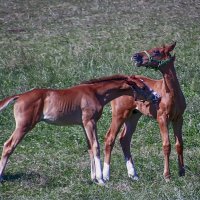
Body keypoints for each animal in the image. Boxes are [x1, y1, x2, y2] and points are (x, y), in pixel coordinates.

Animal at [0, 74, 159, 185]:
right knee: (8, 145)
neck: (95, 93)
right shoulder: (90, 122)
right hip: (24, 126)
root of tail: (20, 96)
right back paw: (1, 177)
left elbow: (89, 148)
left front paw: (94, 178)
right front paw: (101, 180)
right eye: (143, 87)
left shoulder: (84, 124)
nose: (157, 96)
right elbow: (96, 146)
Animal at [103, 42, 186, 183]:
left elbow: (179, 144)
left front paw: (182, 172)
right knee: (110, 138)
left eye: (156, 51)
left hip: (133, 116)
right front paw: (167, 176)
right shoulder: (162, 118)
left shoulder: (178, 118)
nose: (136, 56)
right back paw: (106, 176)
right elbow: (166, 145)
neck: (171, 94)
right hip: (119, 114)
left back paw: (133, 174)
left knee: (124, 139)